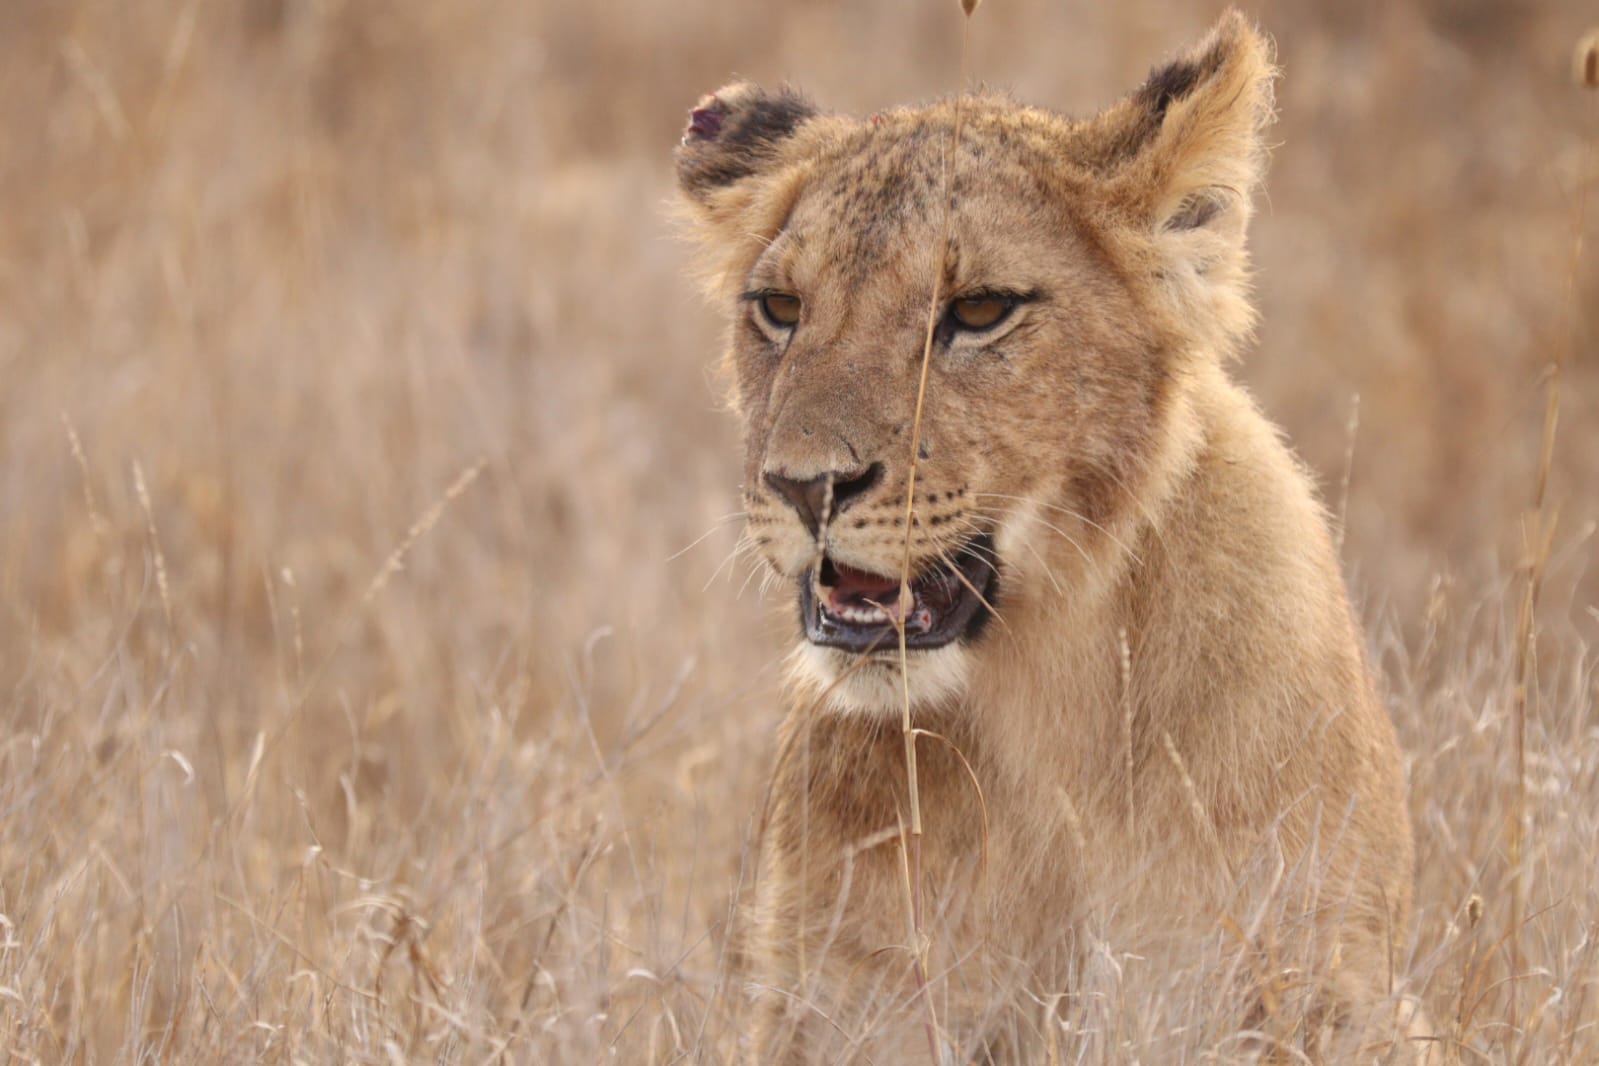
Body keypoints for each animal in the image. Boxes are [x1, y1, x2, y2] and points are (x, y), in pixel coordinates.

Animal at [676, 11, 1428, 1063]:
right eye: (779, 309)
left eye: (980, 311)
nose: (804, 485)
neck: (1045, 691)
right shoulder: (840, 1006)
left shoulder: (1330, 983)